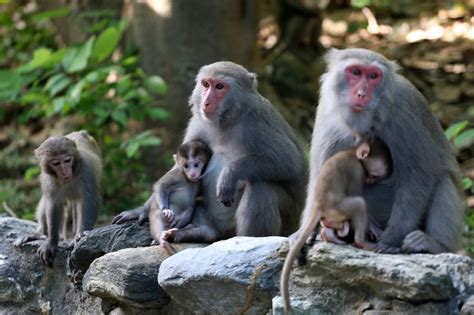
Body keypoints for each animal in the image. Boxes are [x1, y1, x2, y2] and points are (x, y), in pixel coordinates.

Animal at [14, 130, 102, 266]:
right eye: (56, 163)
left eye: (67, 160)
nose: (64, 171)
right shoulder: (48, 178)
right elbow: (53, 203)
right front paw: (51, 242)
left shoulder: (86, 169)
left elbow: (90, 199)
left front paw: (80, 235)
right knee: (46, 200)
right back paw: (40, 234)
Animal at [282, 139, 392, 312]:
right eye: (373, 175)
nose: (370, 181)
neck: (352, 152)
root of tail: (318, 205)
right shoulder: (356, 170)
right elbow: (356, 193)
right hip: (337, 208)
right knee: (359, 204)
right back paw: (361, 242)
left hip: (333, 215)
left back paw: (331, 234)